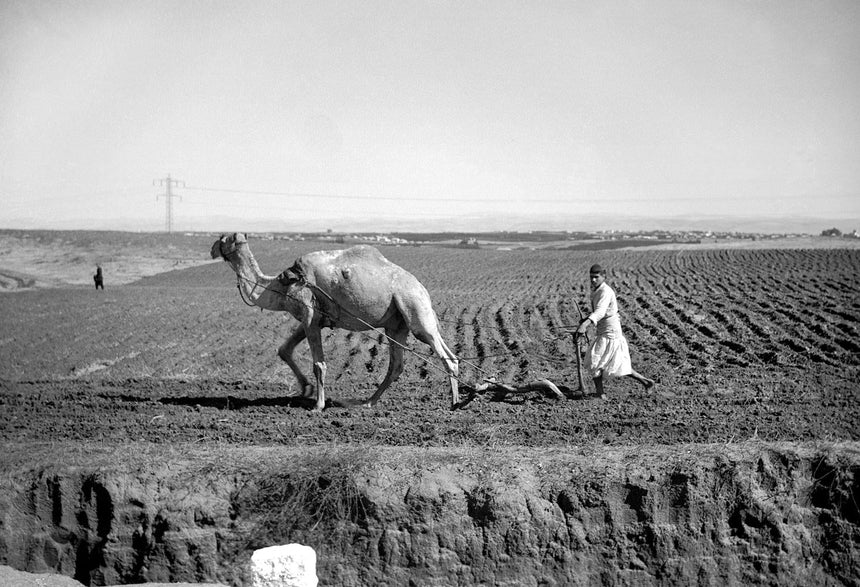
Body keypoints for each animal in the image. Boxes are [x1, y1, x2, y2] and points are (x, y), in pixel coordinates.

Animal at [211, 234, 460, 414]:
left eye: (222, 240)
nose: (212, 249)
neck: (282, 285)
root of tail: (422, 290)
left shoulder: (309, 314)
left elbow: (319, 364)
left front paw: (318, 406)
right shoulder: (311, 319)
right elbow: (284, 349)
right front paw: (306, 388)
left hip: (414, 309)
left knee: (445, 356)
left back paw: (455, 403)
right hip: (397, 325)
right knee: (399, 365)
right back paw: (368, 402)